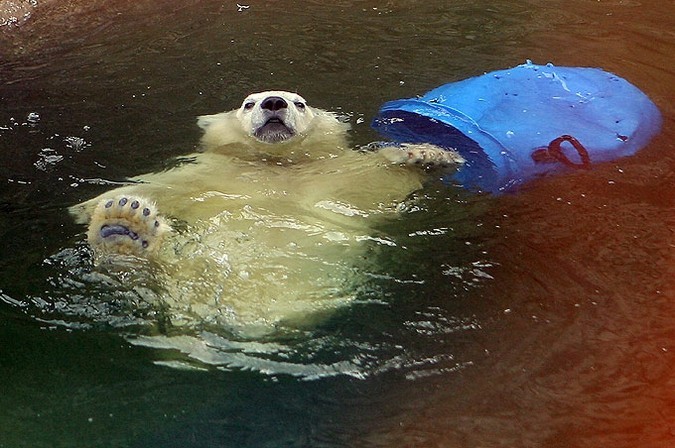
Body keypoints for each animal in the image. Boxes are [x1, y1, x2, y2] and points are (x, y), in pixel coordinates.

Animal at [72, 90, 464, 336]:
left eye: (300, 103)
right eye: (248, 104)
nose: (274, 102)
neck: (277, 166)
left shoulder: (339, 177)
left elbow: (381, 179)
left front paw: (427, 155)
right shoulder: (209, 174)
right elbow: (162, 185)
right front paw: (90, 206)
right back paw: (123, 228)